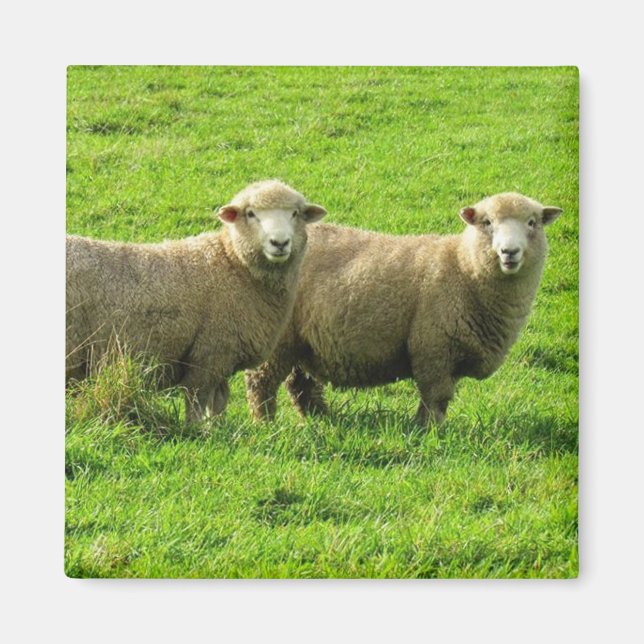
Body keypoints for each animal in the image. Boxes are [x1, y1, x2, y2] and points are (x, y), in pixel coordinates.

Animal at [66, 179, 327, 423]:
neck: (233, 264)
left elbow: (220, 400)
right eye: (251, 214)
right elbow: (197, 399)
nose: (279, 243)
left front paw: (219, 429)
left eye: (295, 214)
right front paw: (196, 430)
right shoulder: (208, 353)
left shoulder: (223, 357)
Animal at [245, 192, 563, 426]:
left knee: (301, 383)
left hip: (302, 340)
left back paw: (322, 418)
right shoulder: (434, 349)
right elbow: (436, 397)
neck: (463, 267)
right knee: (262, 383)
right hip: (277, 337)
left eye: (532, 222)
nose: (510, 252)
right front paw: (429, 431)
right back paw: (266, 424)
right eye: (486, 222)